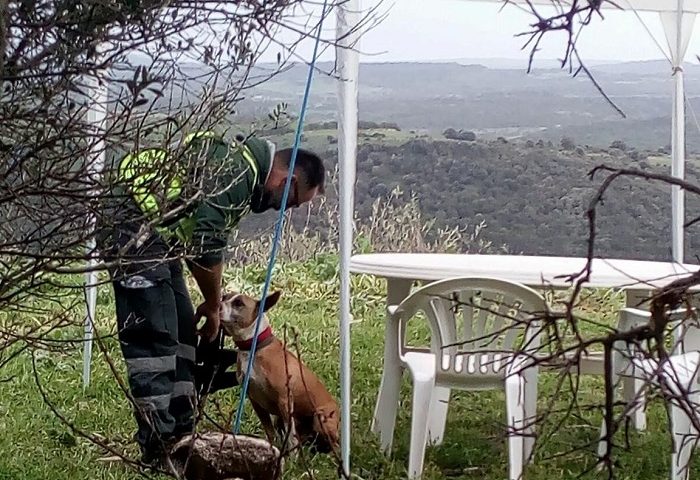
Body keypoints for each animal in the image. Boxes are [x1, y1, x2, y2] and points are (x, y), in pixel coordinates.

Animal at [219, 288, 340, 454]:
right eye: (225, 297)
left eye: (238, 303)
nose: (217, 303)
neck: (254, 347)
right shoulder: (255, 400)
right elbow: (270, 432)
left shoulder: (285, 400)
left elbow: (290, 436)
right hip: (283, 421)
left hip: (321, 419)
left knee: (334, 445)